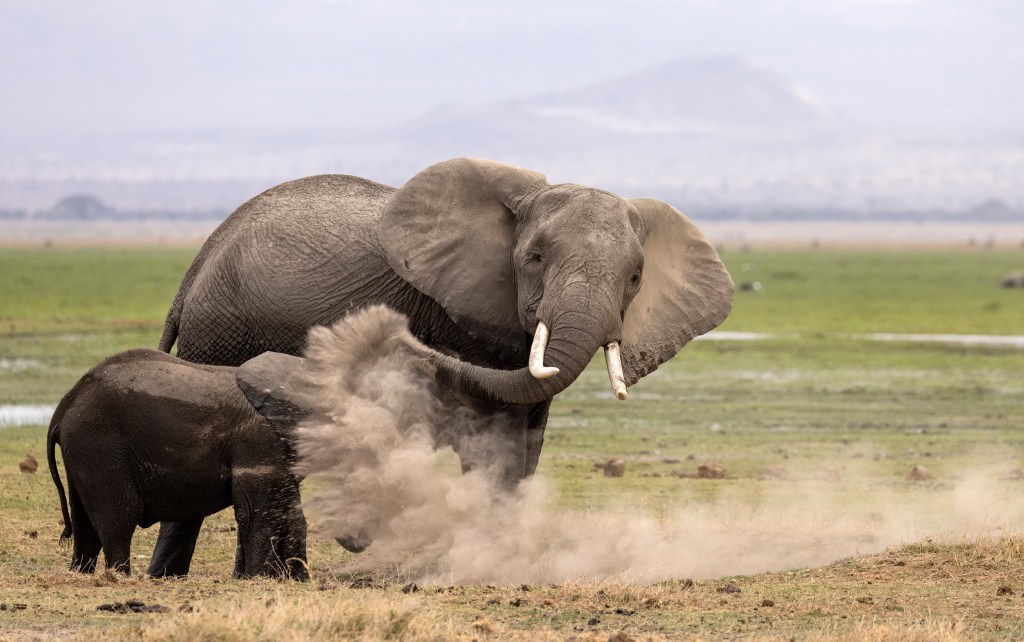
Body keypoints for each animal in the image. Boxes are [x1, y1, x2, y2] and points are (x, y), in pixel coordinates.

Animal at [47, 348, 310, 579]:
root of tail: (64, 406)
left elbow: (291, 512)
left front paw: (297, 580)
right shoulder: (259, 441)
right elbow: (257, 514)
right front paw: (260, 579)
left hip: (83, 450)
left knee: (84, 525)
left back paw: (81, 574)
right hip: (99, 443)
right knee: (118, 519)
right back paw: (120, 577)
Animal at [149, 157, 734, 577]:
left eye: (635, 277)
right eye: (535, 259)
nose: (390, 336)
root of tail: (196, 265)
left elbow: (528, 434)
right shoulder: (460, 314)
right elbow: (490, 429)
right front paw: (487, 563)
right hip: (217, 332)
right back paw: (168, 578)